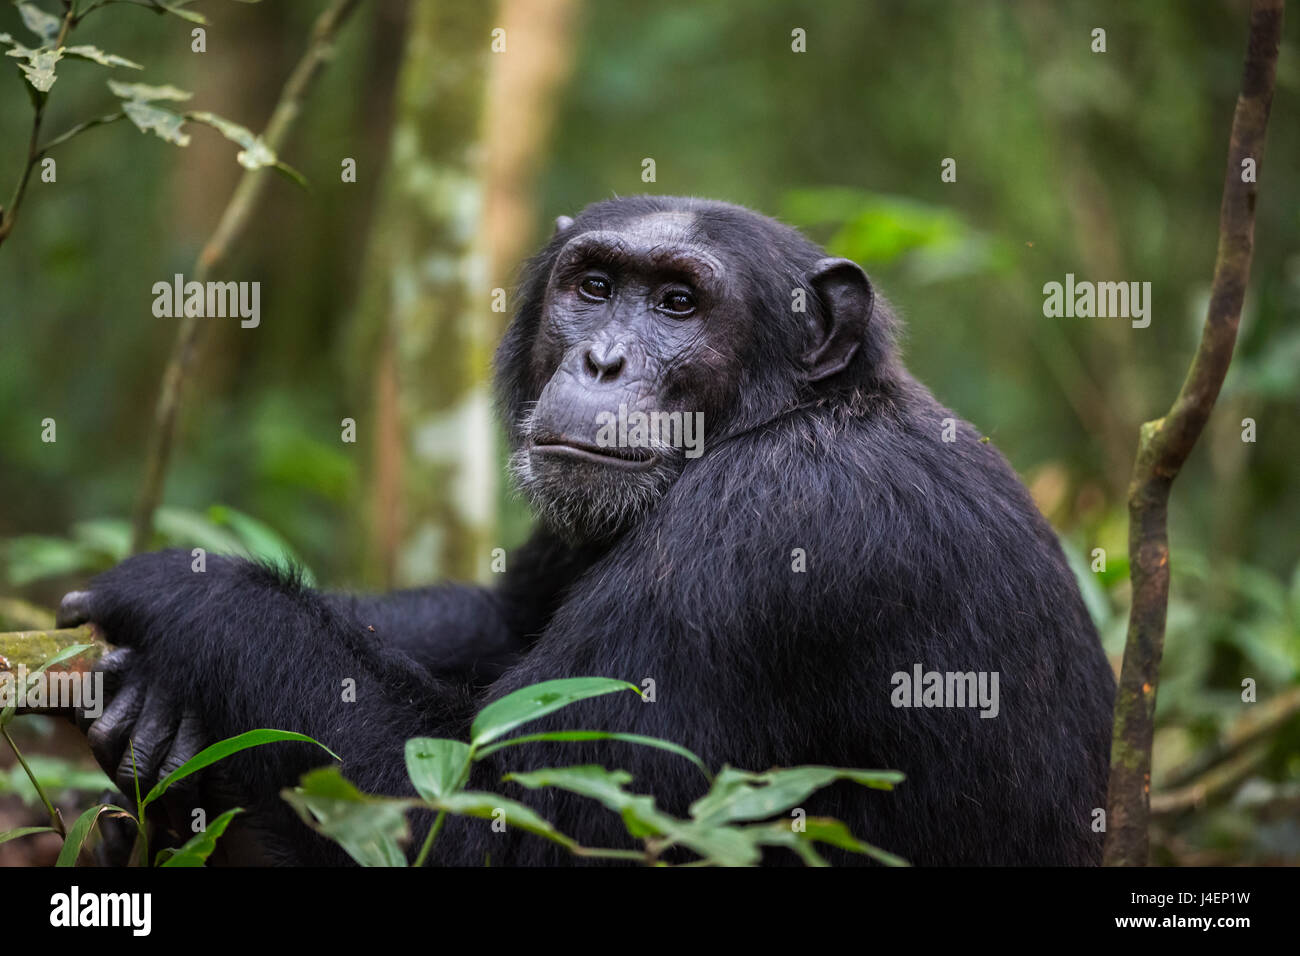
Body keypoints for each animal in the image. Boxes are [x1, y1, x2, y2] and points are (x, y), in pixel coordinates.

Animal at [58, 196, 1118, 868]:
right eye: (597, 286)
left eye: (680, 302)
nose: (603, 360)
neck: (778, 417)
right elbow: (499, 622)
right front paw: (142, 706)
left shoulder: (765, 537)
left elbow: (504, 818)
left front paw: (183, 594)